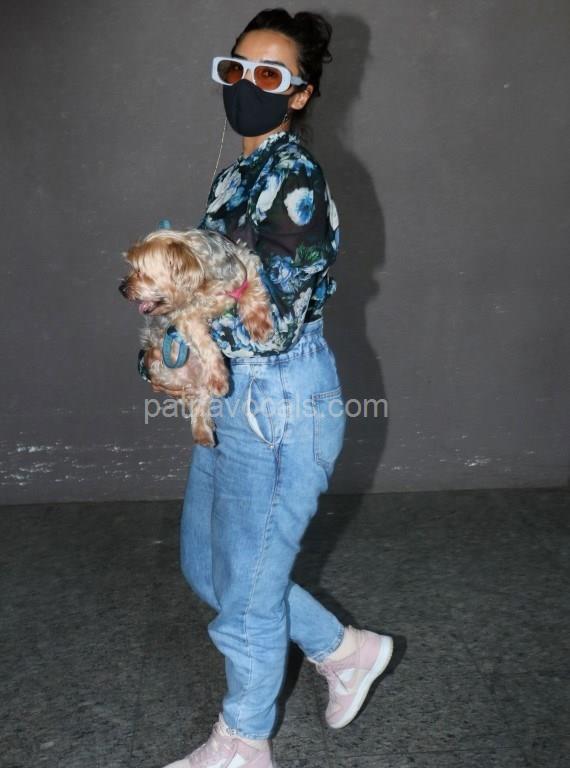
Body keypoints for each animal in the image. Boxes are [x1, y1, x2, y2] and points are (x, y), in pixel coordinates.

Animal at [119, 227, 273, 446]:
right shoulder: (187, 318)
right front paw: (218, 378)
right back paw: (203, 429)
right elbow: (206, 346)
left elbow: (252, 292)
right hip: (163, 369)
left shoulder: (246, 262)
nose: (121, 289)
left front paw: (260, 325)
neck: (204, 287)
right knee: (196, 396)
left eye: (142, 271)